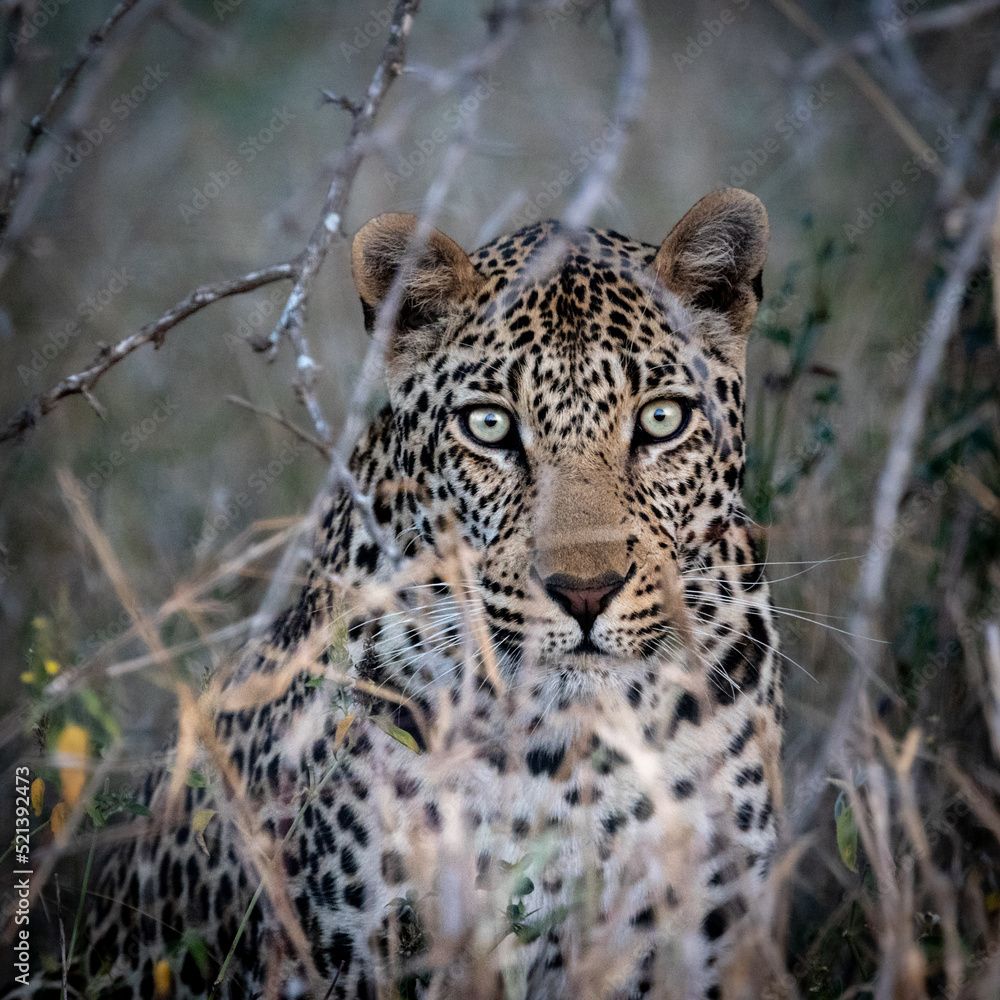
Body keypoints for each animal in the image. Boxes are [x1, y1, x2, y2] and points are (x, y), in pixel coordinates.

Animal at [82, 188, 785, 1000]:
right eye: (490, 426)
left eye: (662, 419)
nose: (585, 592)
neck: (579, 750)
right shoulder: (379, 955)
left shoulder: (714, 935)